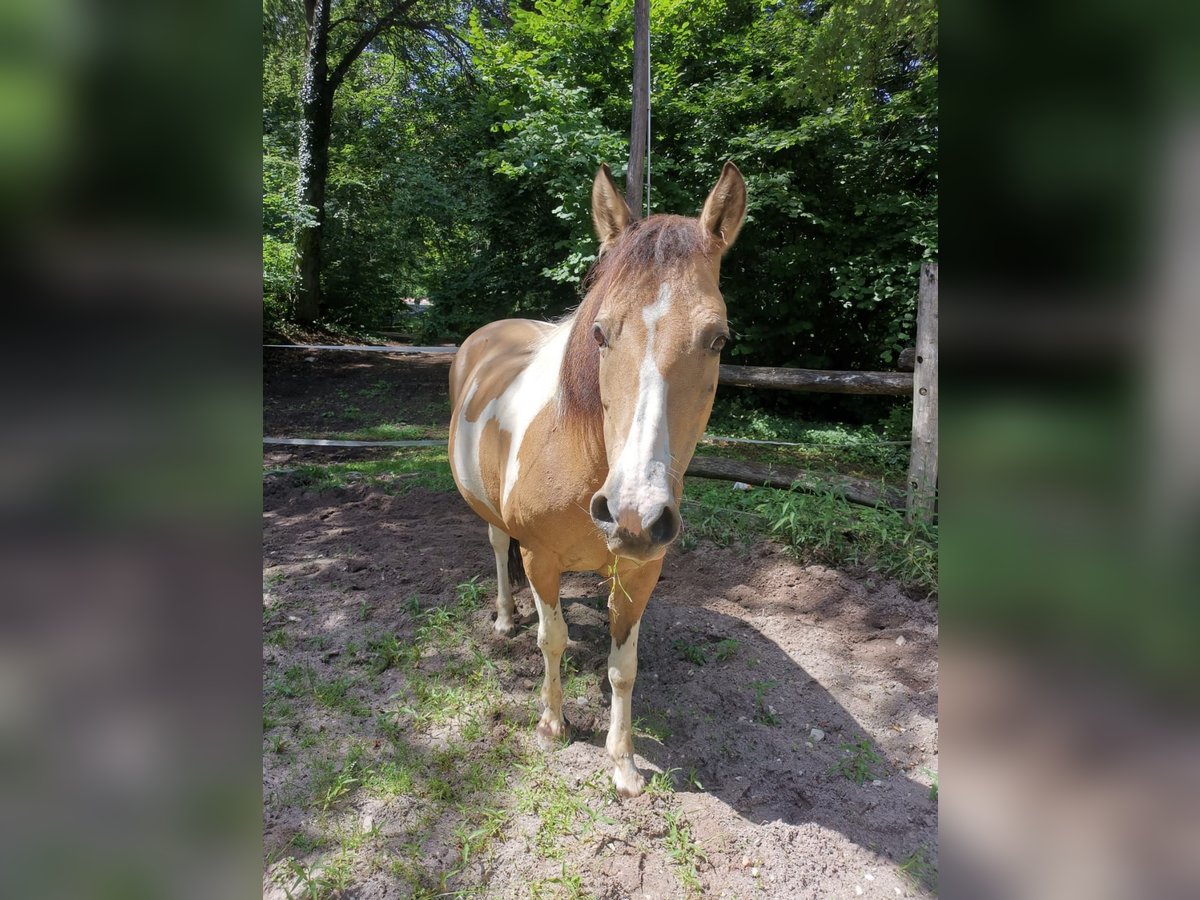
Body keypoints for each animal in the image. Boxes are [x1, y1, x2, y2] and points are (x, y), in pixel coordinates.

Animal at [446, 160, 744, 796]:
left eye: (718, 339)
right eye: (601, 333)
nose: (633, 514)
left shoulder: (640, 570)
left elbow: (622, 667)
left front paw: (623, 762)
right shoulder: (540, 557)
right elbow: (552, 639)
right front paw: (551, 725)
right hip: (493, 519)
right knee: (498, 547)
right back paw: (506, 617)